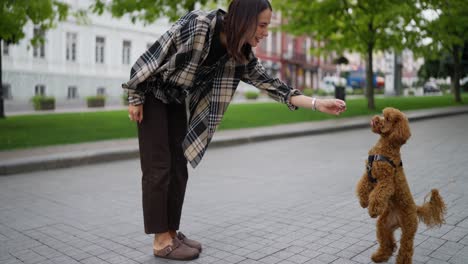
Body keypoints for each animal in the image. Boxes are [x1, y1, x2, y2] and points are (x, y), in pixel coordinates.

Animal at [358, 108, 446, 264]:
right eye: (383, 114)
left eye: (387, 118)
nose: (375, 119)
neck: (385, 147)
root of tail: (415, 208)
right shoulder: (368, 175)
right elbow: (362, 187)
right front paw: (363, 202)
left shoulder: (386, 181)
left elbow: (378, 194)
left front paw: (373, 210)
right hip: (383, 226)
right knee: (388, 243)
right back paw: (380, 256)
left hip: (408, 229)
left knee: (406, 248)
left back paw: (401, 260)